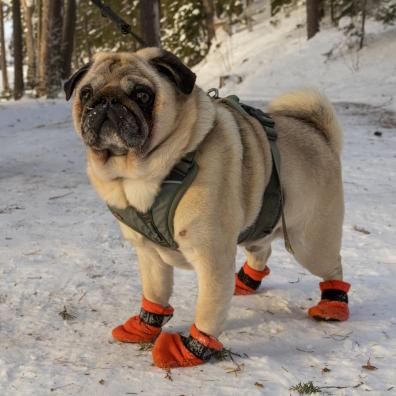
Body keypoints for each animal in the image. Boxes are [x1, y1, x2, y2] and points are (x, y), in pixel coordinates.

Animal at [65, 48, 350, 368]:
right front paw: (145, 326)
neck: (138, 177)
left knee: (333, 267)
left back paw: (332, 306)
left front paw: (190, 349)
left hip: (310, 243)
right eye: (86, 94)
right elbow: (155, 292)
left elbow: (208, 310)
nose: (107, 101)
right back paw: (244, 282)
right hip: (260, 226)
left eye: (142, 94)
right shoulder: (149, 254)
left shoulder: (211, 257)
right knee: (262, 250)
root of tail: (320, 135)